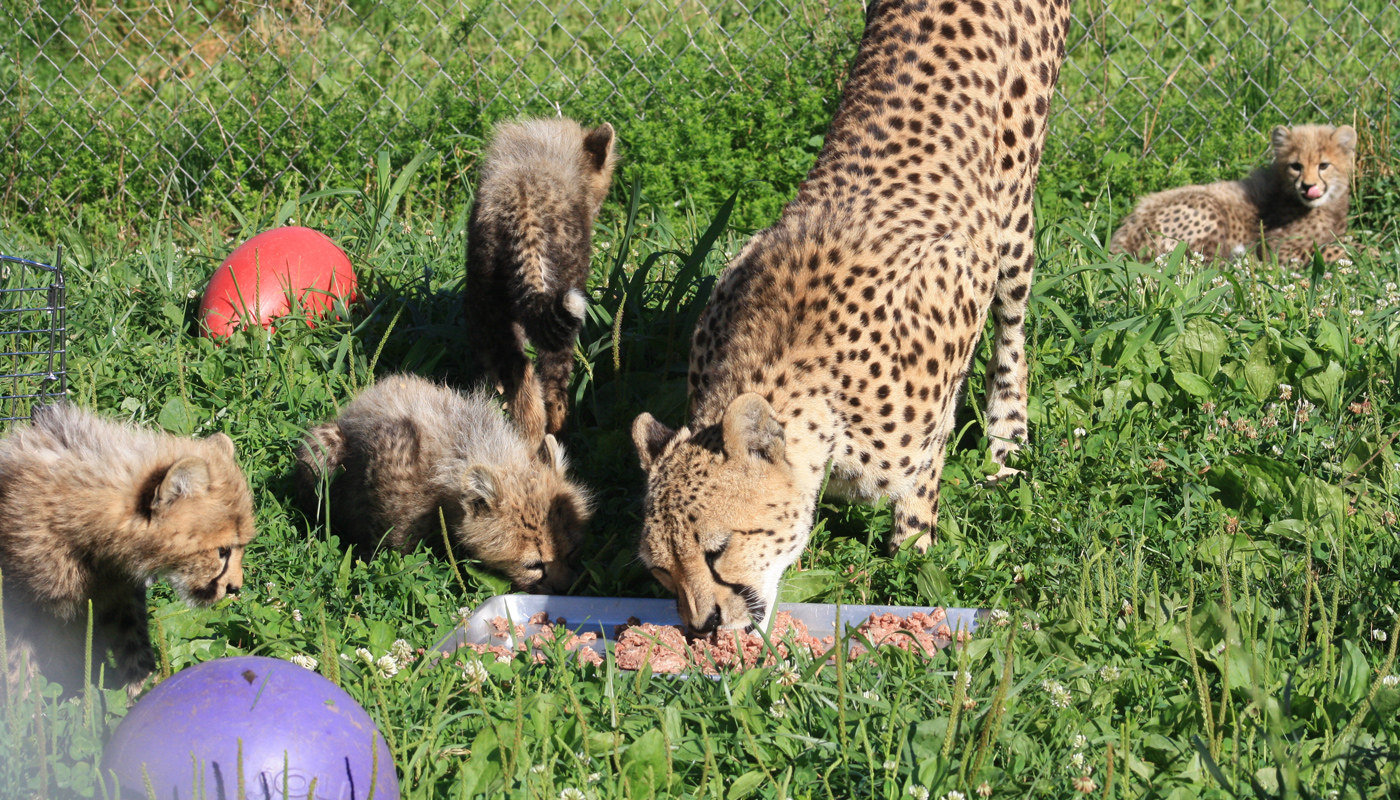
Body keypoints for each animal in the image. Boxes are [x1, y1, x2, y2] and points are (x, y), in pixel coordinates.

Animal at [630, 0, 1064, 633]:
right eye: (662, 570)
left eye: (718, 549)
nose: (701, 625)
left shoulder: (956, 293)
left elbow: (923, 477)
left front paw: (911, 558)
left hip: (1013, 204)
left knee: (1012, 327)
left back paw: (1007, 442)